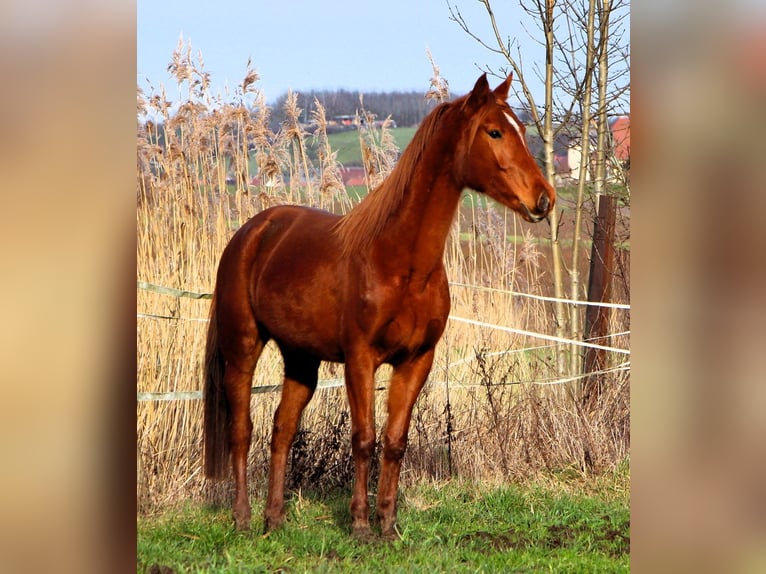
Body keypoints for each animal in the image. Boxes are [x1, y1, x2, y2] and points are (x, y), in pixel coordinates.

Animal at [203, 73, 555, 539]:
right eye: (494, 132)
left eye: (522, 129)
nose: (544, 199)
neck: (401, 263)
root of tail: (252, 232)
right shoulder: (360, 360)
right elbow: (364, 438)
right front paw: (359, 524)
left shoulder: (417, 360)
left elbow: (394, 441)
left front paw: (388, 523)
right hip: (243, 348)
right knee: (242, 430)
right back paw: (243, 517)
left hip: (301, 359)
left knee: (282, 429)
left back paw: (274, 518)